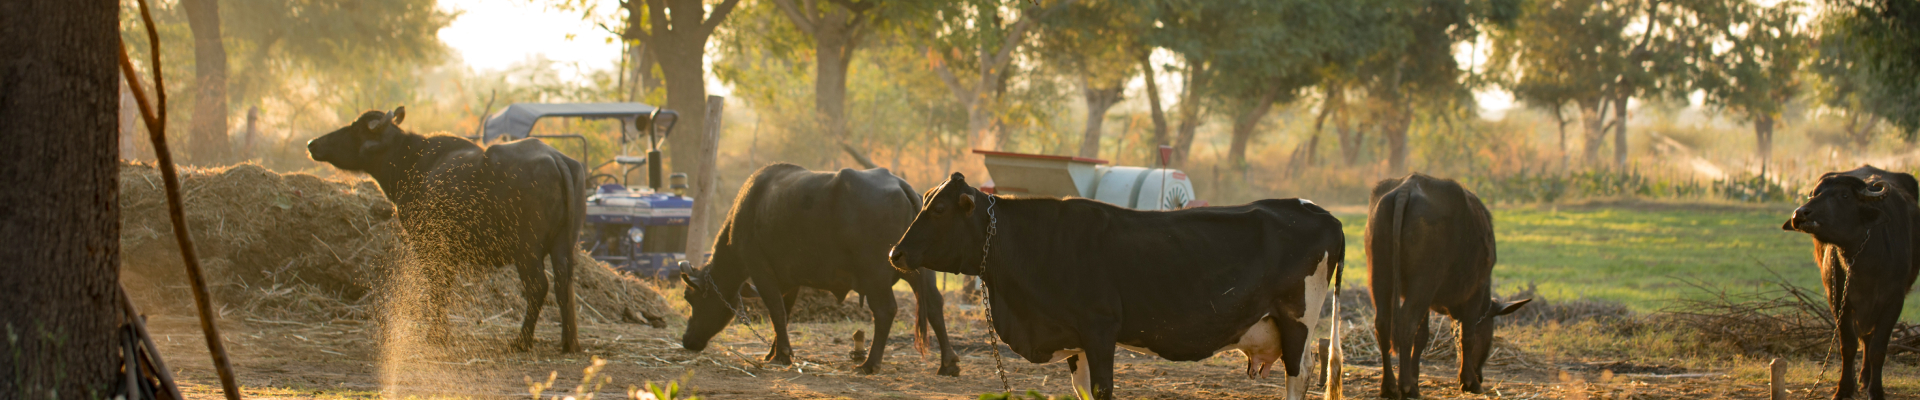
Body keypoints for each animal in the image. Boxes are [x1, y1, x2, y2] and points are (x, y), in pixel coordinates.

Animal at [307, 107, 586, 352]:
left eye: (355, 129)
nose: (312, 144)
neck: (411, 162)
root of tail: (556, 158)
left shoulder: (428, 243)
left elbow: (436, 285)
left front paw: (436, 335)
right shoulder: (449, 250)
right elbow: (445, 286)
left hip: (527, 250)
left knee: (539, 287)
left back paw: (522, 342)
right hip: (564, 245)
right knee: (564, 284)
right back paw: (569, 342)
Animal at [678, 163, 959, 376]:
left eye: (690, 298)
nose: (687, 340)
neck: (749, 210)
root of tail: (902, 186)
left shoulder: (760, 270)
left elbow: (776, 311)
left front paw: (782, 355)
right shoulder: (789, 280)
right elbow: (784, 314)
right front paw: (774, 351)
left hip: (874, 275)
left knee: (885, 310)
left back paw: (870, 364)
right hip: (923, 271)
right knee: (935, 305)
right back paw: (948, 364)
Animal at [887, 172, 1346, 400]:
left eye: (940, 209)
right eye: (924, 200)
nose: (895, 252)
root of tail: (1319, 211)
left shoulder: (1100, 328)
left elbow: (1103, 389)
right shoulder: (1074, 339)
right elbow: (1082, 390)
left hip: (1297, 320)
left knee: (1298, 376)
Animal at [1365, 173, 1530, 399]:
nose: (1480, 376)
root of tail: (1407, 187)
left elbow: (1422, 337)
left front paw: (1416, 379)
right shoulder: (1475, 293)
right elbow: (1467, 336)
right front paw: (1469, 382)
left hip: (1380, 275)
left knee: (1383, 324)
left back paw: (1390, 386)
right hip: (1424, 281)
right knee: (1406, 323)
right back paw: (1405, 386)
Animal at [1782, 169, 1920, 400]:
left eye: (1844, 196)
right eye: (1815, 193)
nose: (1800, 214)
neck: (1865, 262)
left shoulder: (1893, 302)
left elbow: (1878, 349)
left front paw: (1876, 390)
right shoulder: (1839, 300)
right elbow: (1848, 346)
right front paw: (1845, 388)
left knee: (1869, 340)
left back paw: (1866, 378)